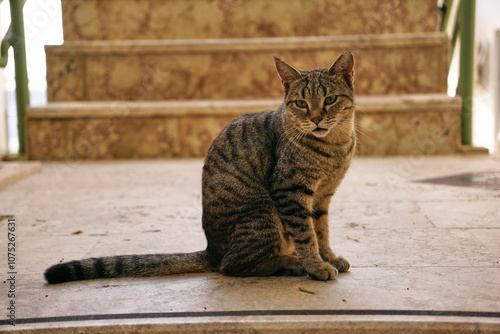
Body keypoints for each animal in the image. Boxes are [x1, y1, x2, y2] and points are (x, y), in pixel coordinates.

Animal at [44, 52, 356, 284]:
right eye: (301, 103)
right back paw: (292, 263)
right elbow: (306, 235)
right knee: (233, 265)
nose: (316, 119)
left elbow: (321, 231)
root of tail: (211, 251)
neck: (335, 146)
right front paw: (316, 265)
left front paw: (328, 257)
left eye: (330, 99)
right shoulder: (291, 192)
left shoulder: (322, 196)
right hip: (262, 212)